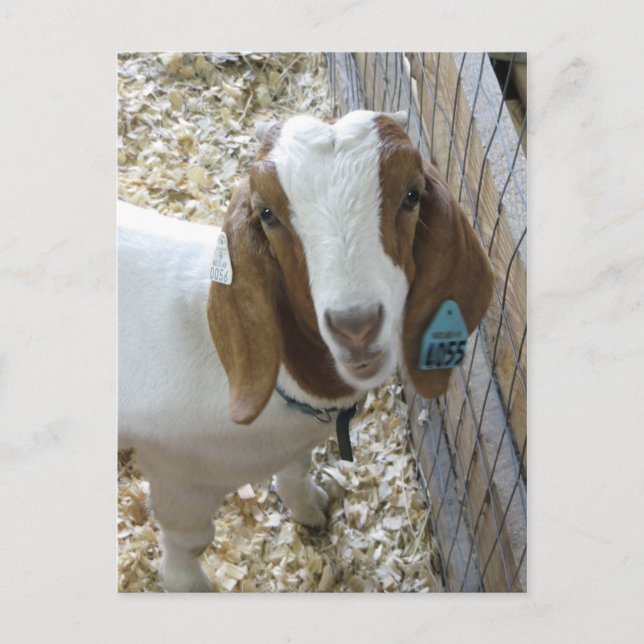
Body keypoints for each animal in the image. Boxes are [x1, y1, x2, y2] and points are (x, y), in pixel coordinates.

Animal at [118, 110, 494, 591]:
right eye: (267, 213)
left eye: (411, 195)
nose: (356, 326)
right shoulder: (178, 476)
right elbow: (190, 542)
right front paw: (189, 585)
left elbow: (296, 469)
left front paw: (311, 505)